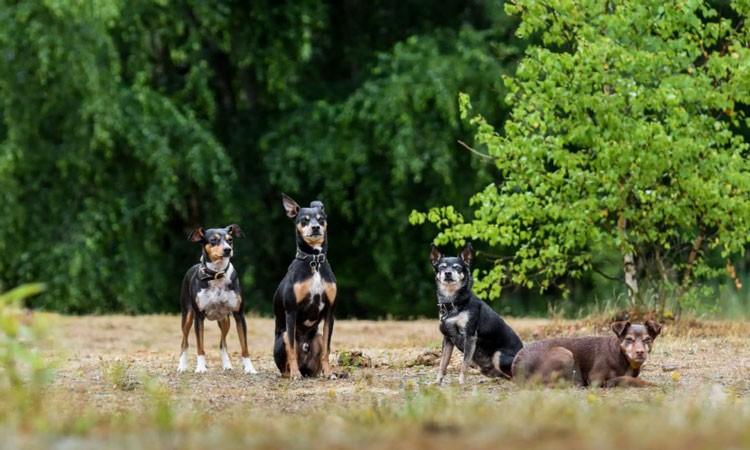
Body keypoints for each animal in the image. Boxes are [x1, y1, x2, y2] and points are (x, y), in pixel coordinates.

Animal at [178, 223, 258, 374]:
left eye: (230, 239)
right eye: (213, 240)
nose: (228, 250)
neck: (216, 274)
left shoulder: (239, 315)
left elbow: (244, 347)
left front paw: (249, 368)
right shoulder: (199, 317)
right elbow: (200, 347)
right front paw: (201, 367)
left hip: (225, 320)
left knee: (223, 343)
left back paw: (227, 364)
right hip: (187, 316)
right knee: (184, 341)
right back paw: (181, 366)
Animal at [274, 194, 338, 380]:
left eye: (321, 219)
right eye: (304, 220)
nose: (316, 227)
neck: (314, 262)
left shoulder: (330, 313)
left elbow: (327, 350)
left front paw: (329, 373)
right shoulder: (291, 311)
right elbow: (292, 349)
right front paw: (295, 374)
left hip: (317, 337)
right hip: (284, 336)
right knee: (288, 360)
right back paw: (294, 373)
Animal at [432, 241, 524, 384]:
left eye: (458, 268)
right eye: (441, 267)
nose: (448, 273)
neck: (454, 303)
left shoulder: (469, 337)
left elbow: (464, 364)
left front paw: (461, 382)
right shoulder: (447, 339)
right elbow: (443, 363)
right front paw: (438, 382)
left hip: (498, 356)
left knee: (514, 376)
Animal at [512, 320, 664, 386]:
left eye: (647, 340)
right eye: (629, 339)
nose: (640, 352)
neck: (621, 356)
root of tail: (516, 366)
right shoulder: (596, 379)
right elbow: (626, 378)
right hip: (565, 353)